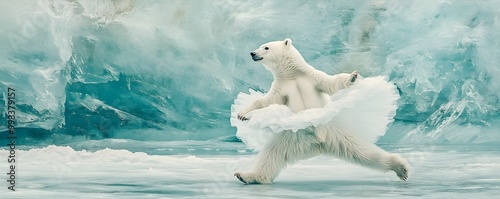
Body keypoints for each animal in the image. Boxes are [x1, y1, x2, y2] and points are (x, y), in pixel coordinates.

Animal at [232, 38, 408, 184]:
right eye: (260, 46)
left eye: (266, 47)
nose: (252, 53)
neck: (292, 74)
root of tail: (320, 144)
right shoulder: (281, 87)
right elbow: (265, 101)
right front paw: (242, 114)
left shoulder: (312, 77)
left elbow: (331, 83)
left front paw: (352, 77)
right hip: (293, 136)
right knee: (272, 154)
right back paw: (247, 176)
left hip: (336, 133)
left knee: (365, 152)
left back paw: (401, 168)